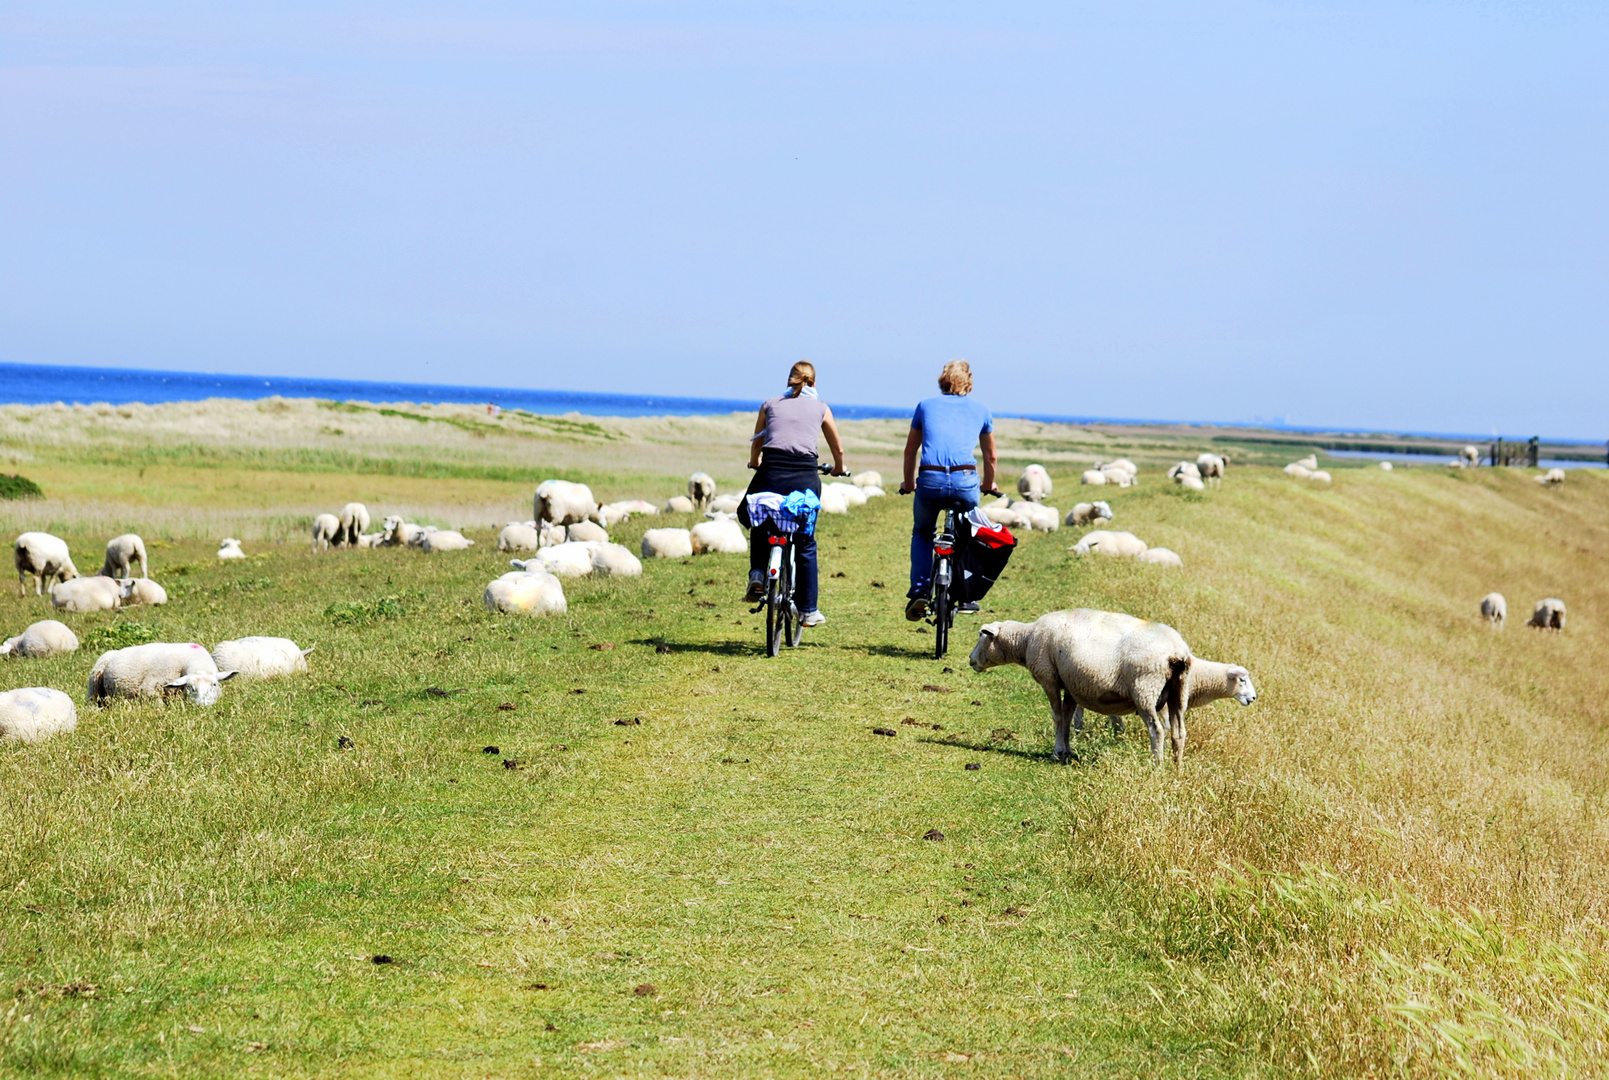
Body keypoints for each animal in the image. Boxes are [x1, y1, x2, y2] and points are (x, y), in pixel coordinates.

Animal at [86, 643, 238, 708]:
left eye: (214, 684)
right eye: (190, 687)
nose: (203, 705)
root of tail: (113, 652)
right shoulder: (150, 689)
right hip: (94, 689)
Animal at [965, 608, 1255, 769]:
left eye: (981, 636)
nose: (970, 660)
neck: (1025, 641)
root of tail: (1177, 651)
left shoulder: (1050, 678)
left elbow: (1058, 717)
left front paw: (1057, 752)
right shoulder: (1072, 684)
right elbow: (1069, 718)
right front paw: (1067, 750)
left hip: (1145, 689)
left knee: (1157, 730)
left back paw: (1157, 765)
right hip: (1178, 692)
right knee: (1179, 733)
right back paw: (1178, 767)